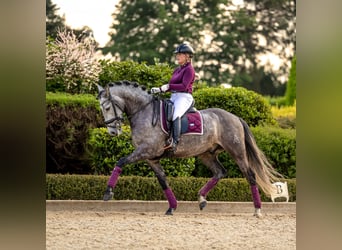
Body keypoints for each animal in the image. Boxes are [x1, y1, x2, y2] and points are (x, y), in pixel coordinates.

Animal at [95, 80, 280, 217]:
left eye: (107, 107)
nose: (112, 132)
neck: (144, 112)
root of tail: (235, 117)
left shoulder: (145, 151)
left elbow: (120, 162)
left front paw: (108, 193)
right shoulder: (151, 158)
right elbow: (163, 181)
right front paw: (172, 207)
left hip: (237, 152)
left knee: (250, 175)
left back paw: (257, 210)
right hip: (207, 154)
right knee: (220, 172)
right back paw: (201, 199)